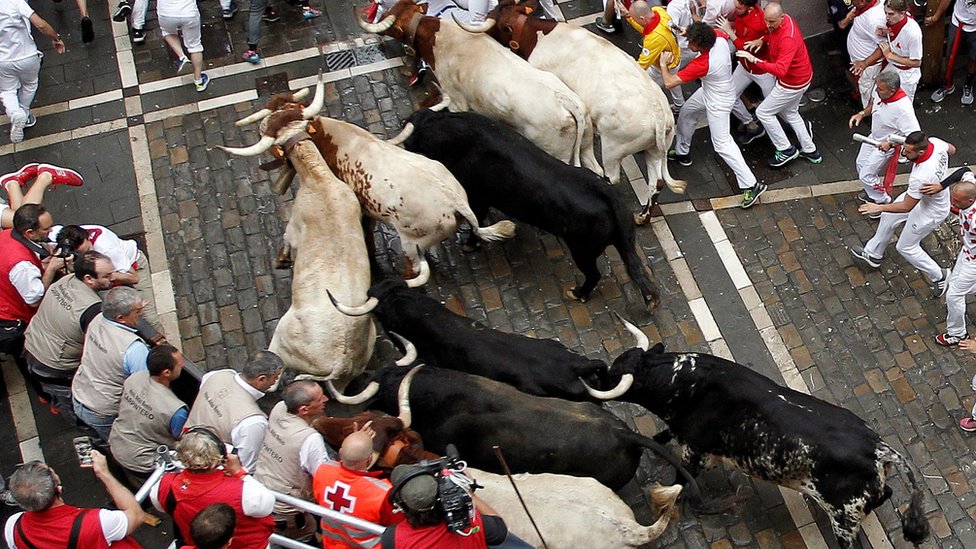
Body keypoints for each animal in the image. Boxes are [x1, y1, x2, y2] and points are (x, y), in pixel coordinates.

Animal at [358, 0, 604, 173]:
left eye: (389, 20)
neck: (438, 37)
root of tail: (566, 101)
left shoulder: (456, 102)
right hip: (586, 146)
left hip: (556, 153)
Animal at [398, 105, 664, 306]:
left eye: (414, 138)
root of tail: (608, 194)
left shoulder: (477, 197)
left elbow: (477, 222)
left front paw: (470, 245)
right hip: (623, 242)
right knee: (636, 270)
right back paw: (650, 299)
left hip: (582, 251)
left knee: (593, 274)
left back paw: (576, 293)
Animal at [608, 344, 932, 544]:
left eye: (614, 373)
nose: (596, 369)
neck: (686, 381)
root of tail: (879, 448)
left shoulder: (695, 451)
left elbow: (682, 481)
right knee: (887, 493)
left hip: (844, 522)